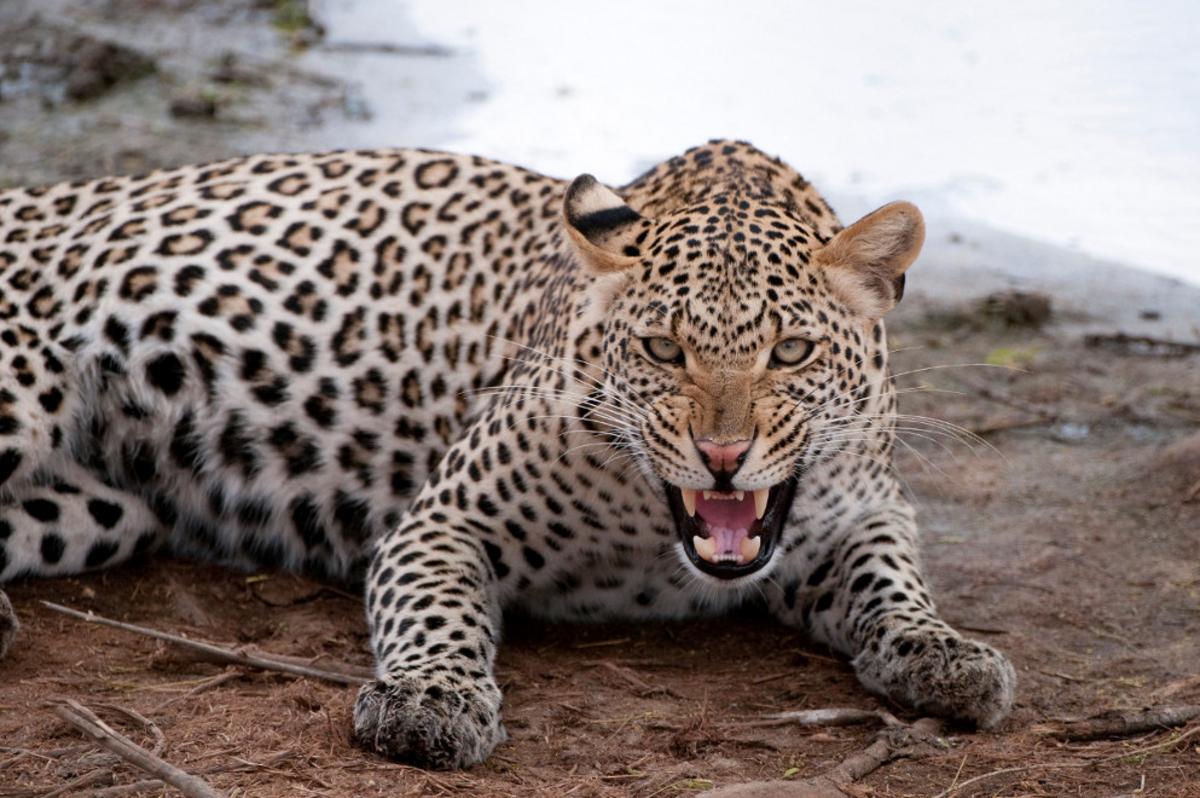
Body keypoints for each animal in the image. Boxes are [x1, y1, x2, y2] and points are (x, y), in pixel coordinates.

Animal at [0, 139, 1012, 768]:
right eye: (662, 350)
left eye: (792, 351)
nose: (723, 454)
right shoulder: (442, 522)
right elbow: (438, 613)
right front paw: (430, 702)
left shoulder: (867, 509)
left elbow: (891, 580)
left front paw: (945, 653)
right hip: (24, 384)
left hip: (105, 511)